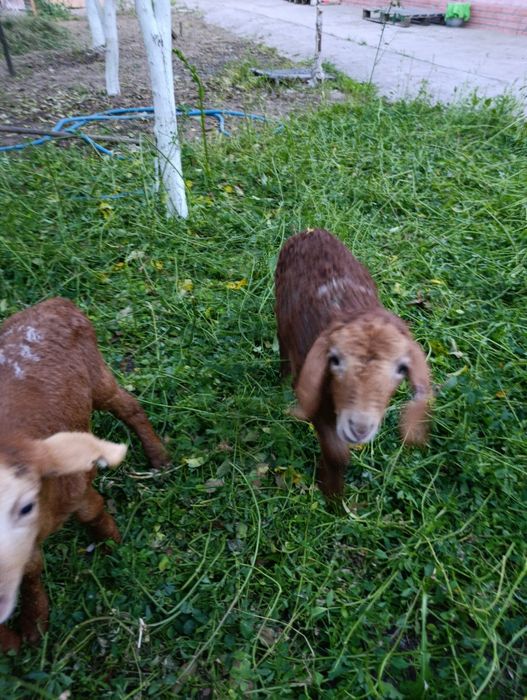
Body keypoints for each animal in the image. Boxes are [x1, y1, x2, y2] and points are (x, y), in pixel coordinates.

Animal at [0, 297, 170, 652]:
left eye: (25, 505)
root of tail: (53, 303)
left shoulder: (75, 488)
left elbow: (93, 514)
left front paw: (113, 547)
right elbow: (31, 570)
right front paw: (31, 629)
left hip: (97, 375)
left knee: (128, 406)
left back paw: (159, 458)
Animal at [275, 229, 432, 497]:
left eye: (402, 368)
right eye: (335, 359)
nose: (359, 428)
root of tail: (312, 230)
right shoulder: (317, 402)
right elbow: (337, 455)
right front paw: (331, 494)